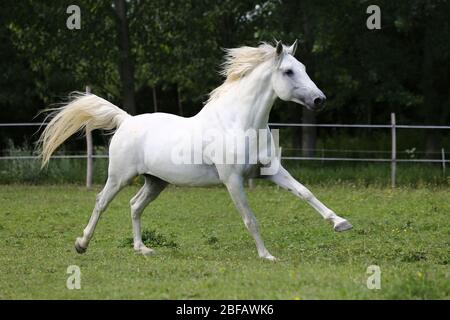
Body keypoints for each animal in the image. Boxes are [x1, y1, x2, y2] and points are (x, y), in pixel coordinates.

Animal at [38, 40, 352, 260]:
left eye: (304, 68)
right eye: (288, 71)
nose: (319, 100)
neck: (239, 123)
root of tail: (126, 120)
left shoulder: (271, 171)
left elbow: (305, 192)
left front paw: (341, 223)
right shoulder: (233, 180)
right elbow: (250, 218)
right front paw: (266, 255)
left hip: (156, 182)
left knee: (135, 205)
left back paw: (142, 249)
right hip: (119, 177)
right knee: (101, 202)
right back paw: (81, 244)